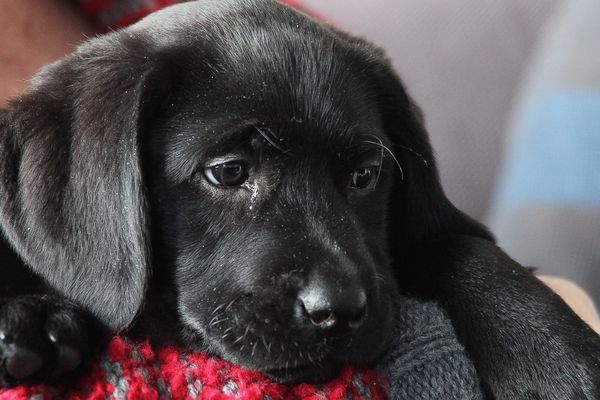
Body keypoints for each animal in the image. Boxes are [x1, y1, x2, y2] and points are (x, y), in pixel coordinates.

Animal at [0, 0, 596, 396]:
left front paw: (552, 356)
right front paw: (31, 321)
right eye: (228, 172)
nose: (338, 311)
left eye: (364, 175)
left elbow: (456, 245)